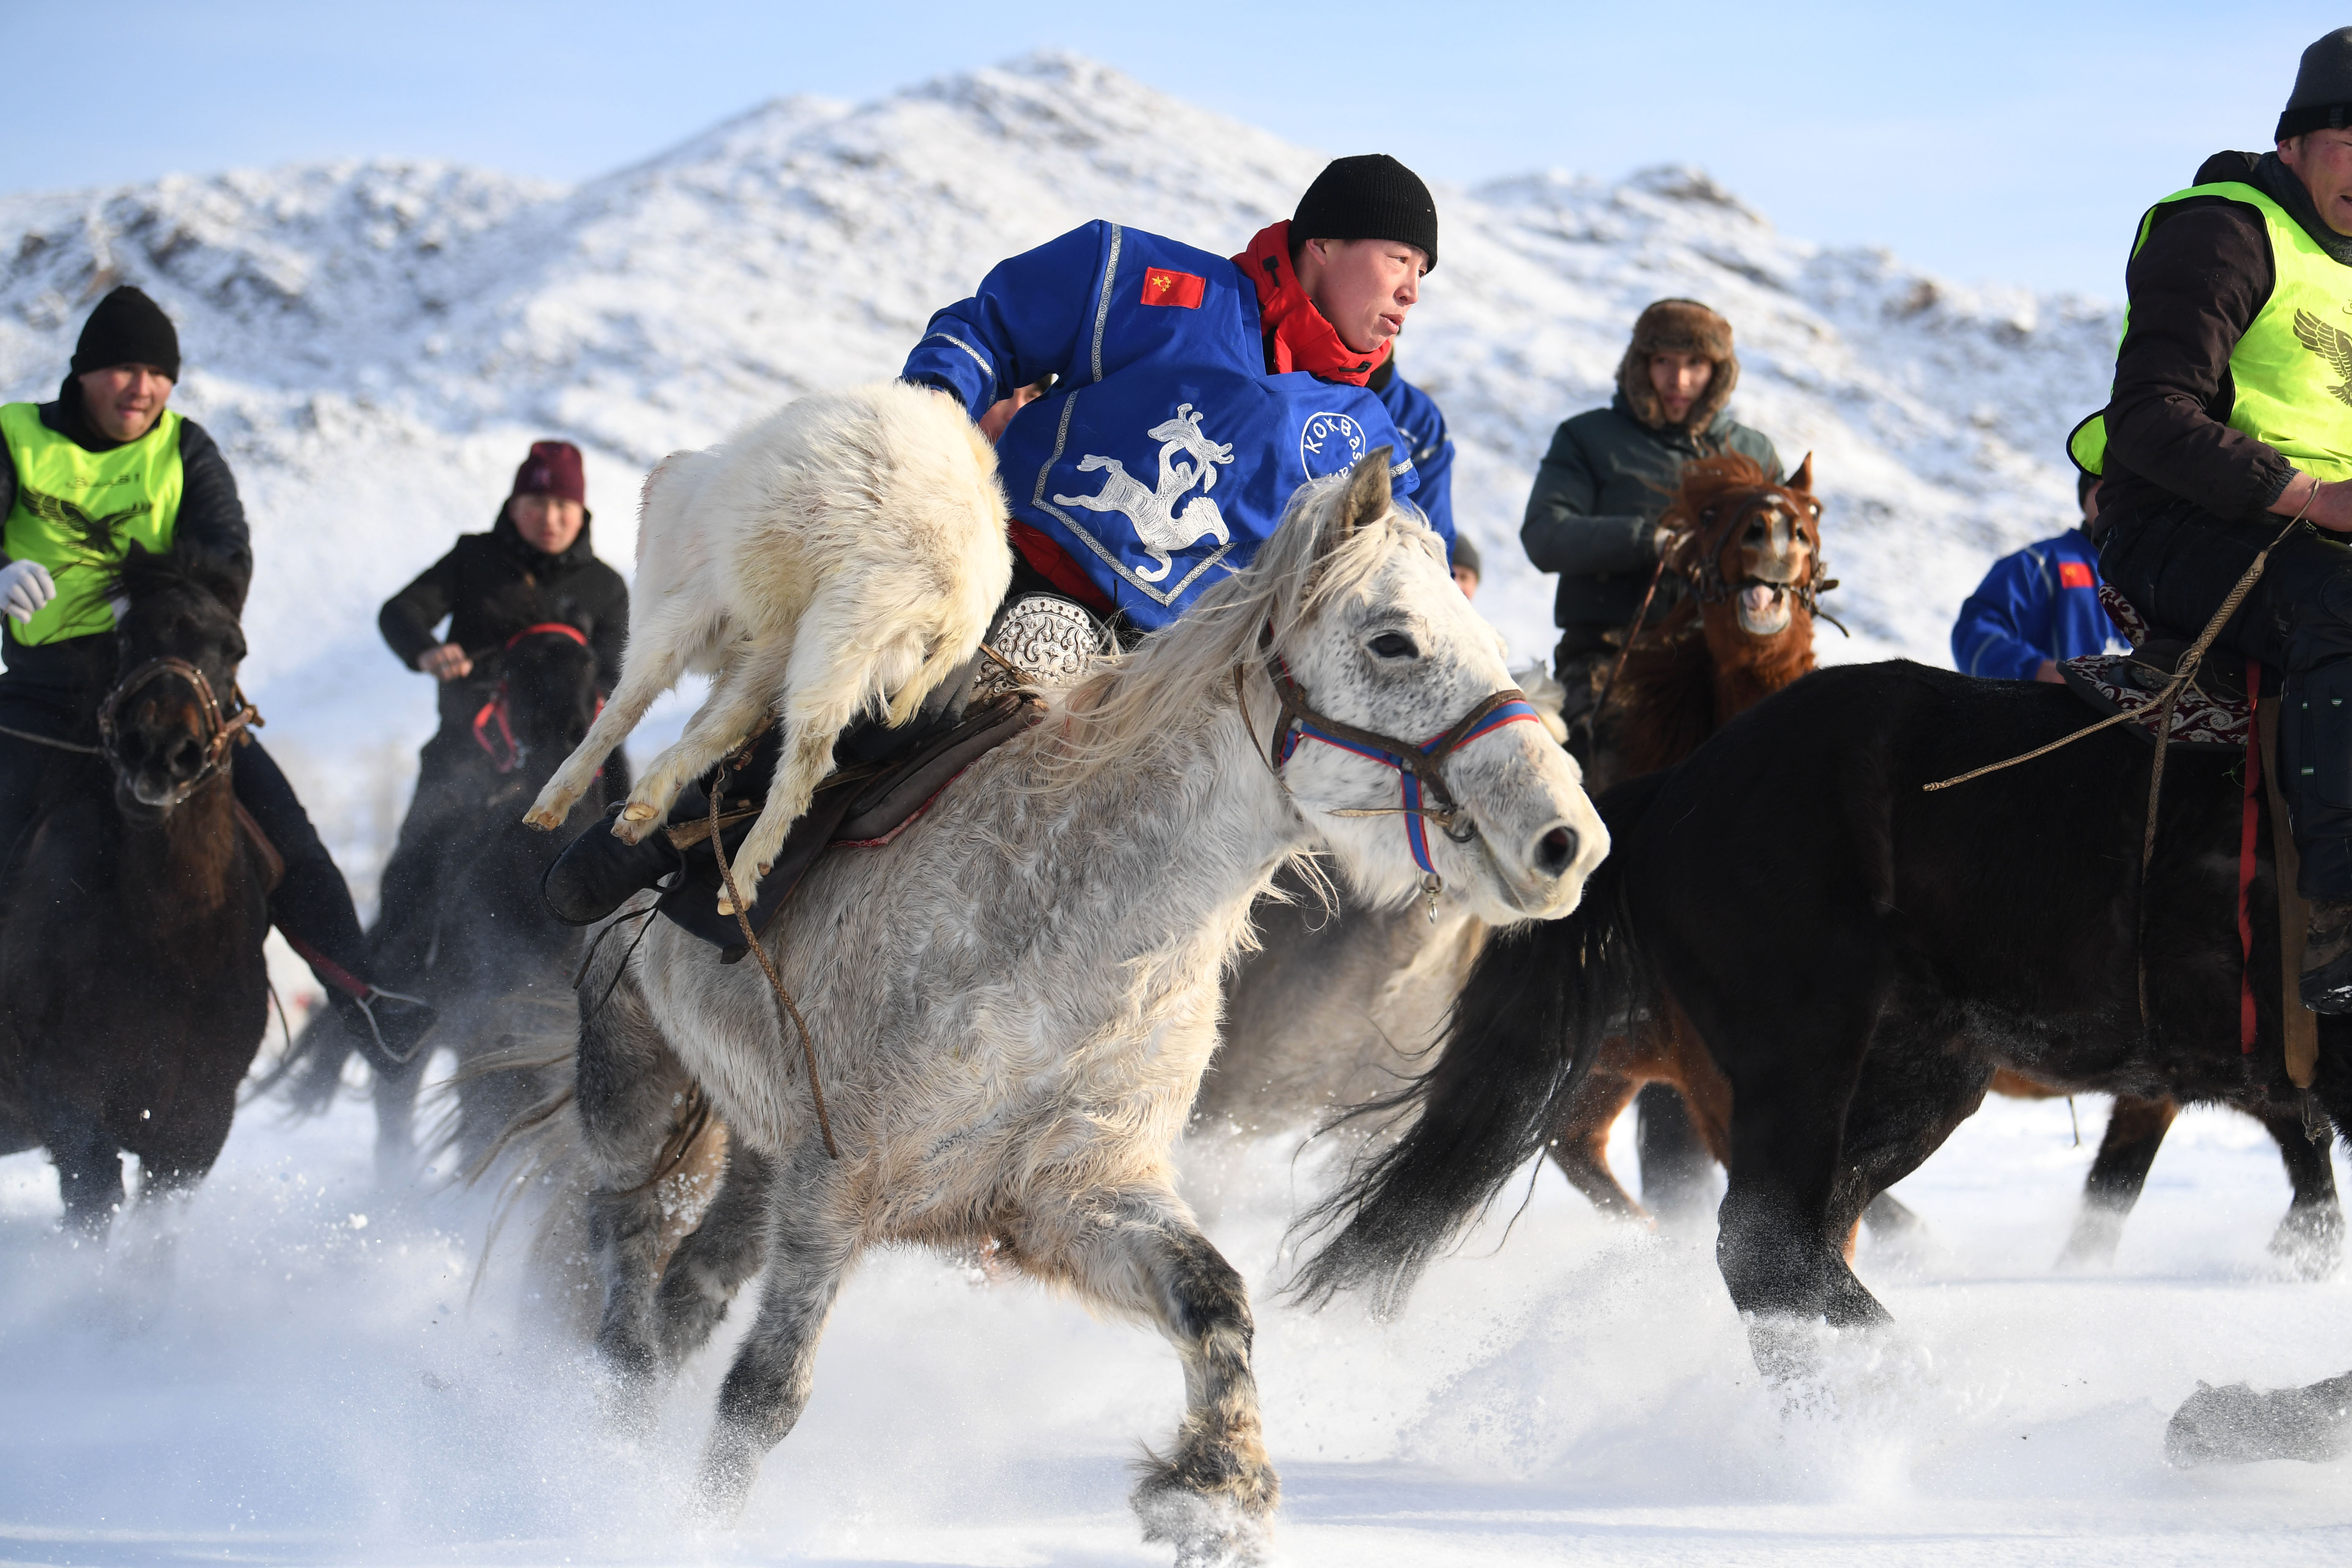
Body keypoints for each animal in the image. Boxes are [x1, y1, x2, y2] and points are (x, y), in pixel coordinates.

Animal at [0, 543, 270, 1241]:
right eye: (127, 636)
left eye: (233, 648)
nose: (160, 751)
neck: (168, 942)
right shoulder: (68, 1108)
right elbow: (93, 1212)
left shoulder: (195, 1129)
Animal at [560, 446, 1609, 1561]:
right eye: (1394, 639)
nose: (1568, 841)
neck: (1062, 928)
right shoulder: (835, 1193)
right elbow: (763, 1398)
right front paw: (695, 1527)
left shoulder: (1073, 1192)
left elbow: (1215, 1300)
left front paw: (1216, 1493)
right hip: (633, 1075)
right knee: (627, 1223)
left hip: (764, 1151)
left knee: (692, 1283)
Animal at [1298, 658, 2352, 1457]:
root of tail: (1680, 786)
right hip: (1806, 1044)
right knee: (1764, 1243)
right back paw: (1897, 1406)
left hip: (1921, 1072)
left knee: (1800, 1237)